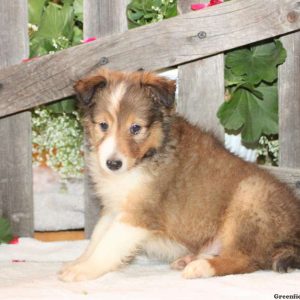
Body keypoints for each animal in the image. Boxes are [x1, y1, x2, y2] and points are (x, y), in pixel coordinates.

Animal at [57, 68, 298, 282]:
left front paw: (83, 270)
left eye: (136, 128)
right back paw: (189, 259)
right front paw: (77, 263)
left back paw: (200, 267)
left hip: (249, 200)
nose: (113, 164)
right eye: (103, 125)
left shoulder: (139, 214)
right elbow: (96, 238)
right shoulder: (114, 207)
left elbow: (108, 245)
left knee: (244, 260)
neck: (148, 156)